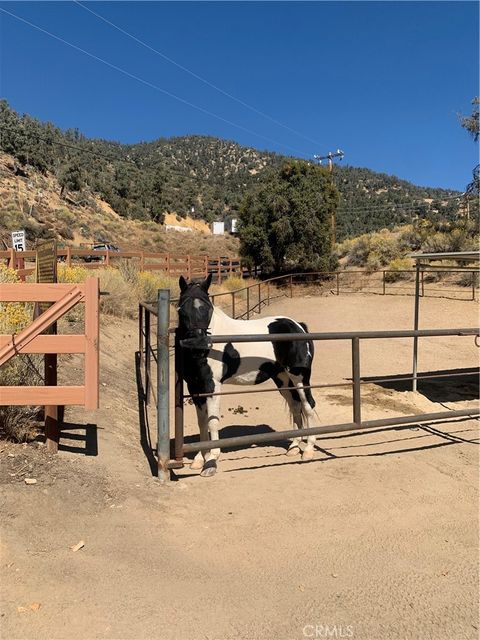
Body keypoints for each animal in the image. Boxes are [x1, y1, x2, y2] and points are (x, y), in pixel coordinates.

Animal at [178, 272, 316, 478]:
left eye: (207, 308)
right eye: (182, 310)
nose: (199, 344)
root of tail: (298, 326)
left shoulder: (212, 385)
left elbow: (212, 421)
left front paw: (212, 461)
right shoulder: (195, 387)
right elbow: (202, 421)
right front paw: (199, 459)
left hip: (300, 378)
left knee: (308, 405)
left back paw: (308, 450)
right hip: (282, 379)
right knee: (295, 406)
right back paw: (293, 447)